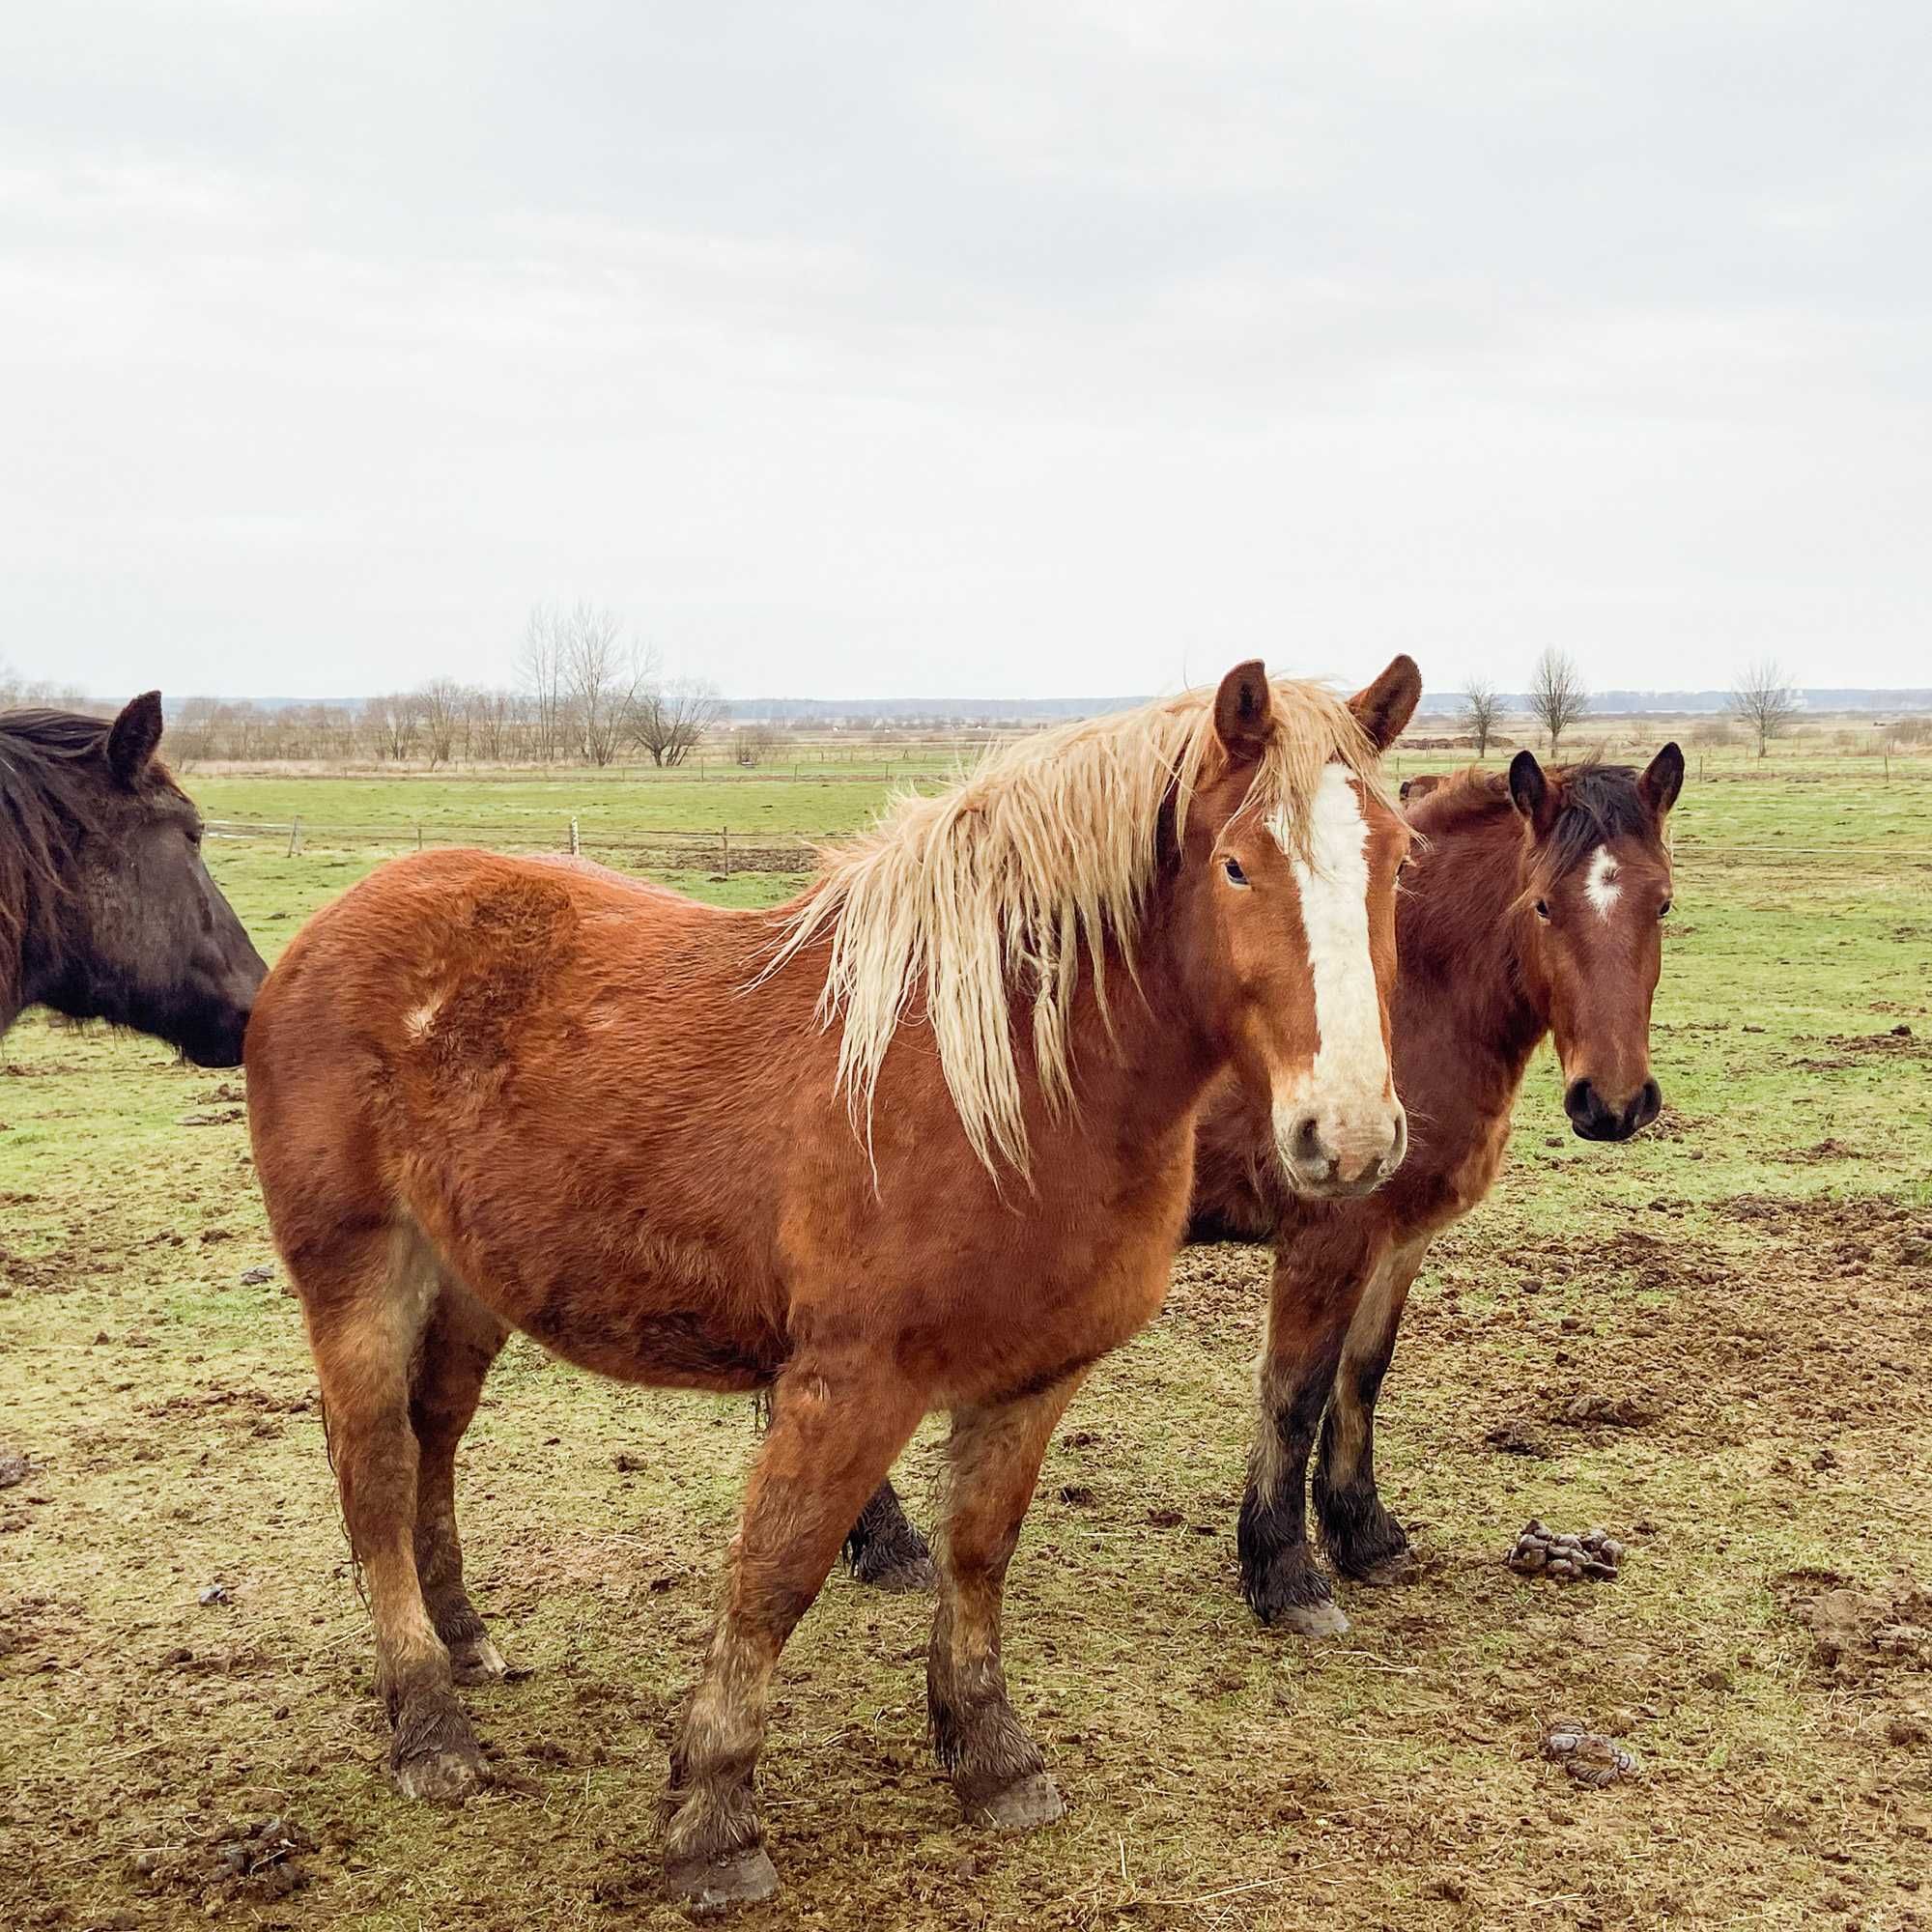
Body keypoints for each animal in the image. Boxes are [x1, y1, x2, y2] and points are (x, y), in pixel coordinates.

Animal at [245, 657, 1422, 1909]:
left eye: (1399, 858)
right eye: (1237, 863)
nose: (1348, 1135)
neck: (998, 1080)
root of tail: (328, 931)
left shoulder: (1031, 1378)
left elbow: (978, 1554)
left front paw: (991, 1754)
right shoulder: (848, 1383)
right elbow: (774, 1574)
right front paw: (713, 1819)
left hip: (464, 1279)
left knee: (434, 1434)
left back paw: (464, 1638)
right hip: (359, 1272)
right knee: (373, 1468)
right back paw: (428, 1725)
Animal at [1182, 746, 1685, 1623]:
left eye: (1661, 903)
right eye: (1543, 905)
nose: (1613, 1104)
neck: (1405, 997)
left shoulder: (1399, 1243)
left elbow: (1361, 1377)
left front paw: (1366, 1538)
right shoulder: (1328, 1243)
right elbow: (1295, 1394)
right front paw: (1284, 1575)